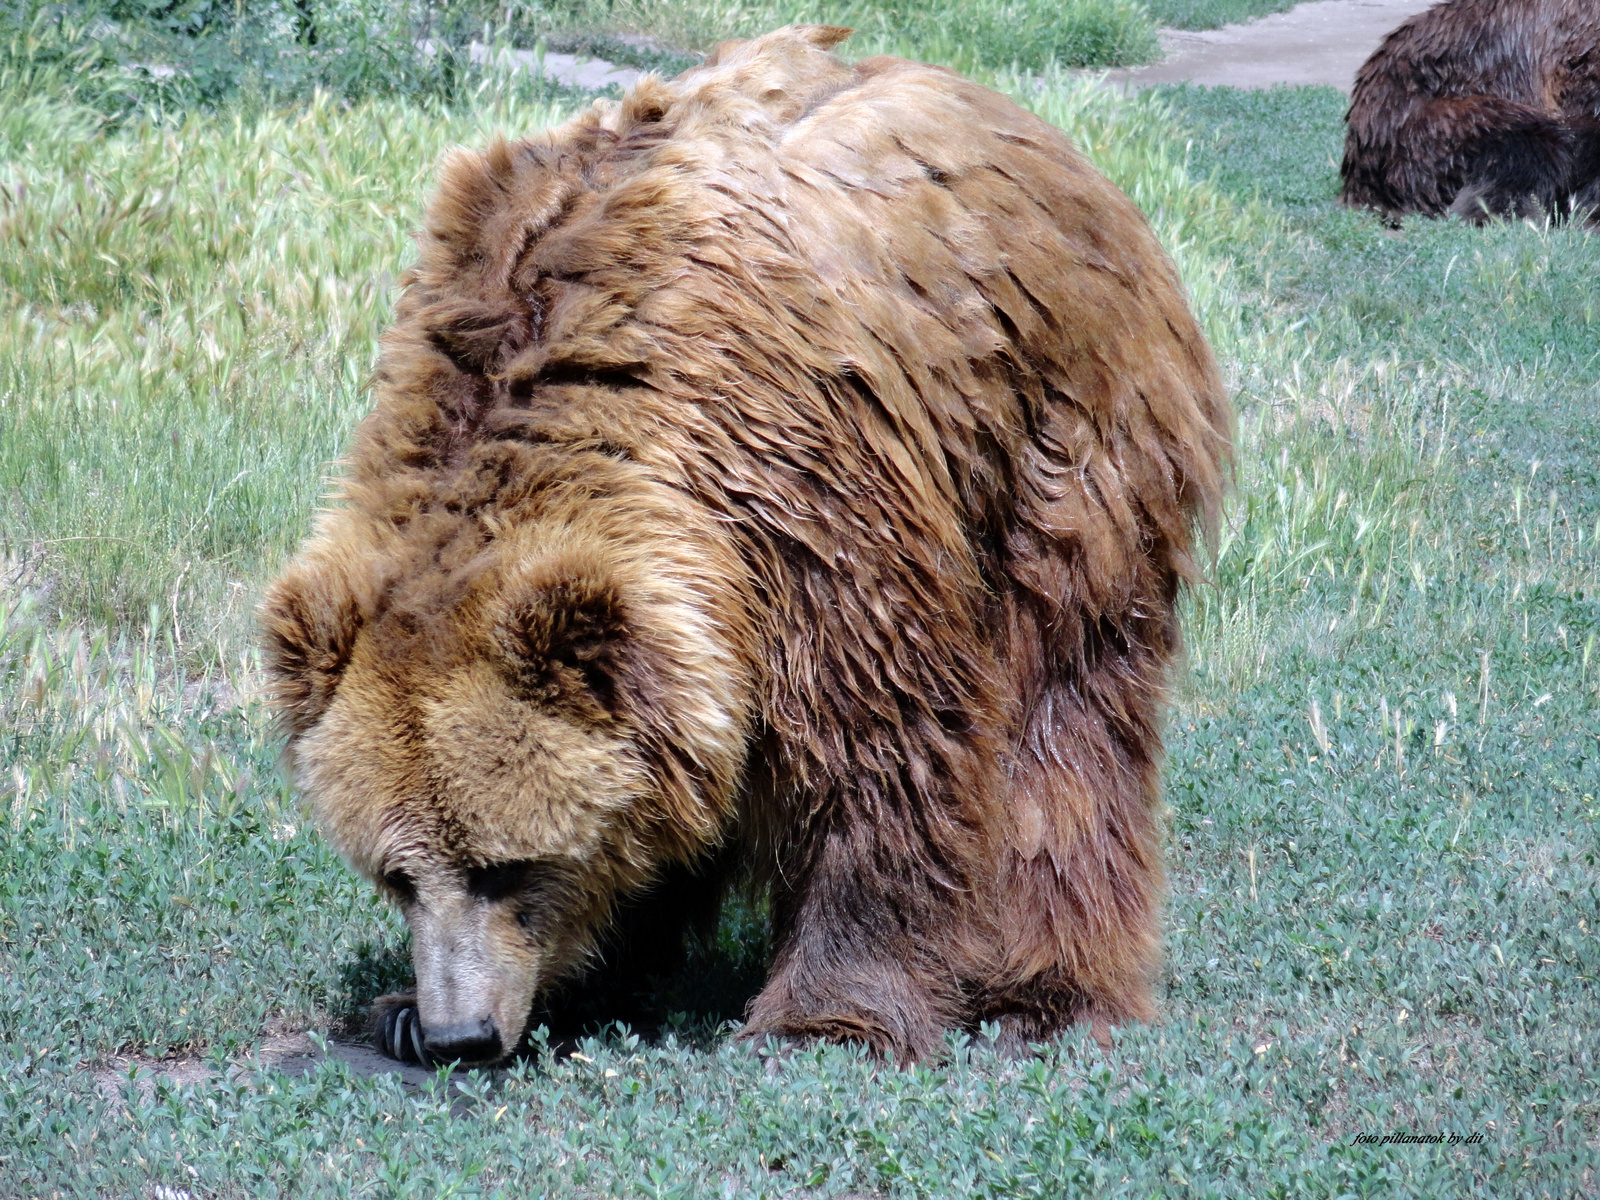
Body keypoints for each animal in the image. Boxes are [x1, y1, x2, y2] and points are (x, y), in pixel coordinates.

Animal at [262, 23, 1228, 1068]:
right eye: (396, 875)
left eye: (507, 866)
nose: (459, 1034)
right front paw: (432, 999)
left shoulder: (798, 479)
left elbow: (877, 742)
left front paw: (827, 1015)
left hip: (1062, 439)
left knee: (1068, 699)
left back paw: (1049, 993)